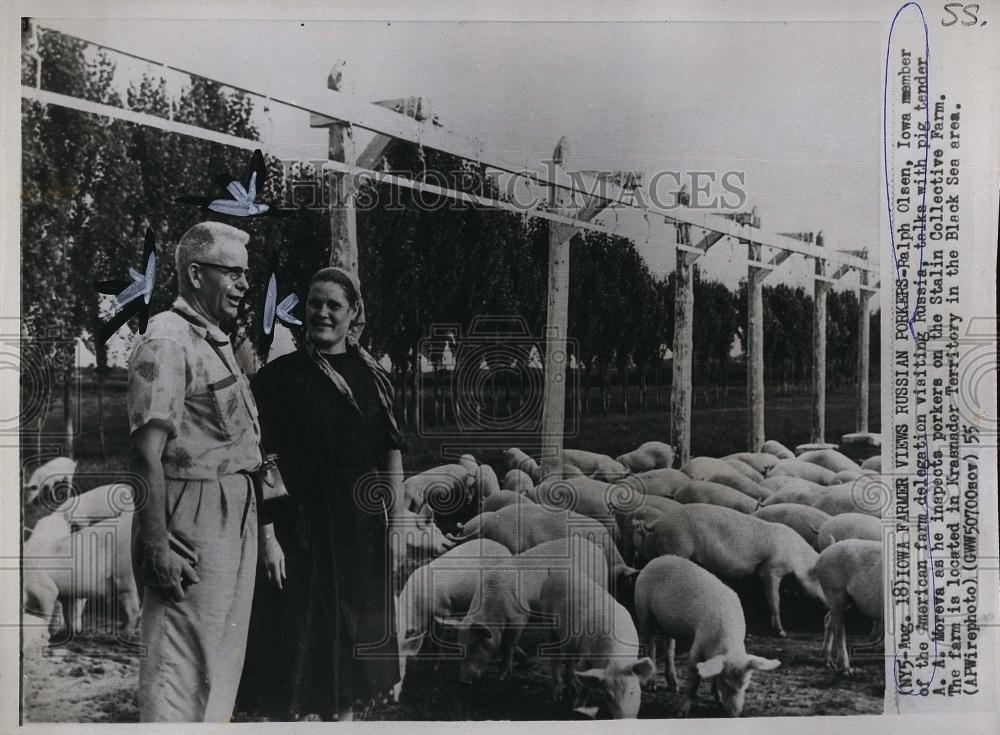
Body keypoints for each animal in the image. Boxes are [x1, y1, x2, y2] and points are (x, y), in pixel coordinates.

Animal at [540, 568, 656, 716]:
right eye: (608, 696)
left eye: (632, 692)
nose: (624, 718)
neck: (617, 660)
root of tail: (555, 574)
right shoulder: (586, 655)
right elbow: (585, 686)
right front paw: (576, 710)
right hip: (547, 623)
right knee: (554, 657)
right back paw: (557, 697)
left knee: (569, 657)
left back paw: (572, 690)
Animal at [632, 556, 780, 716]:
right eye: (725, 683)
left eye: (745, 685)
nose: (735, 714)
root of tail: (655, 560)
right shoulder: (698, 645)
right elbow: (693, 681)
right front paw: (680, 713)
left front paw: (717, 698)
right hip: (643, 610)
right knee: (649, 643)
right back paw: (651, 686)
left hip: (668, 624)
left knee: (669, 647)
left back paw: (675, 687)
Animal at [636, 504, 824, 636]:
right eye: (823, 579)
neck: (798, 558)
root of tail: (656, 524)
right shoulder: (770, 569)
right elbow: (775, 599)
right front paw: (781, 632)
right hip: (676, 546)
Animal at [816, 536, 888, 676]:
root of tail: (828, 549)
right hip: (834, 591)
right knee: (839, 629)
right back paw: (846, 670)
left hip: (847, 601)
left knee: (828, 620)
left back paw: (829, 664)